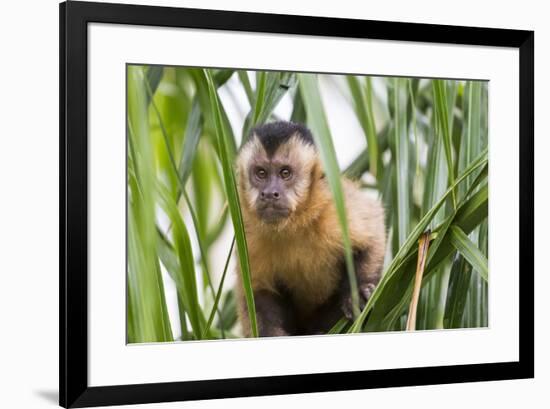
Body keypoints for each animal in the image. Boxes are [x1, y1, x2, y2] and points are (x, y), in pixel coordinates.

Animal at [235, 120, 386, 334]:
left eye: (285, 173)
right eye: (261, 173)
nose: (270, 193)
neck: (293, 225)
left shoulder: (332, 207)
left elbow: (372, 234)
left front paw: (358, 291)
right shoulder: (248, 234)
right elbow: (258, 290)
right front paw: (271, 333)